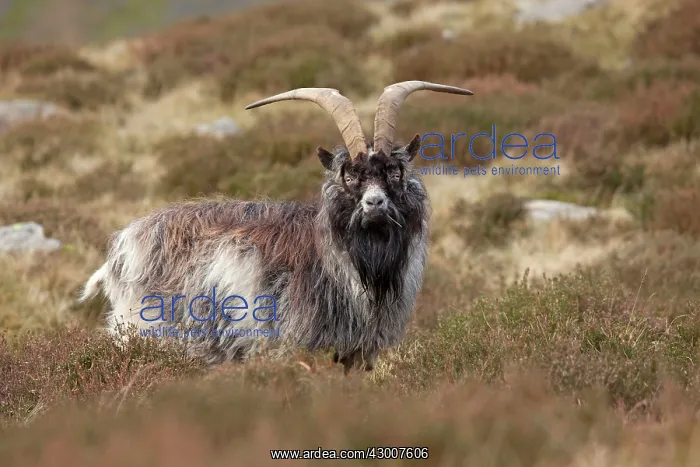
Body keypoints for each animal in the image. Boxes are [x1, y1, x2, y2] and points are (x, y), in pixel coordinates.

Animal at [79, 81, 473, 372]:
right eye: (348, 175)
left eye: (395, 172)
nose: (374, 204)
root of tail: (122, 246)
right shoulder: (292, 346)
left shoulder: (356, 353)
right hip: (145, 332)